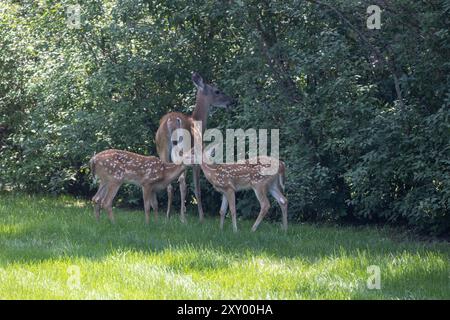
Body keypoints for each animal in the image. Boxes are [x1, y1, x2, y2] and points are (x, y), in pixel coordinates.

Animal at [155, 72, 234, 222]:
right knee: (181, 181)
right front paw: (201, 218)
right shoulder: (197, 157)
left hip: (162, 149)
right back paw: (183, 218)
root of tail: (170, 121)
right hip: (183, 149)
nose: (231, 101)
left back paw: (168, 217)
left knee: (169, 181)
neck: (198, 122)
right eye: (217, 90)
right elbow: (197, 189)